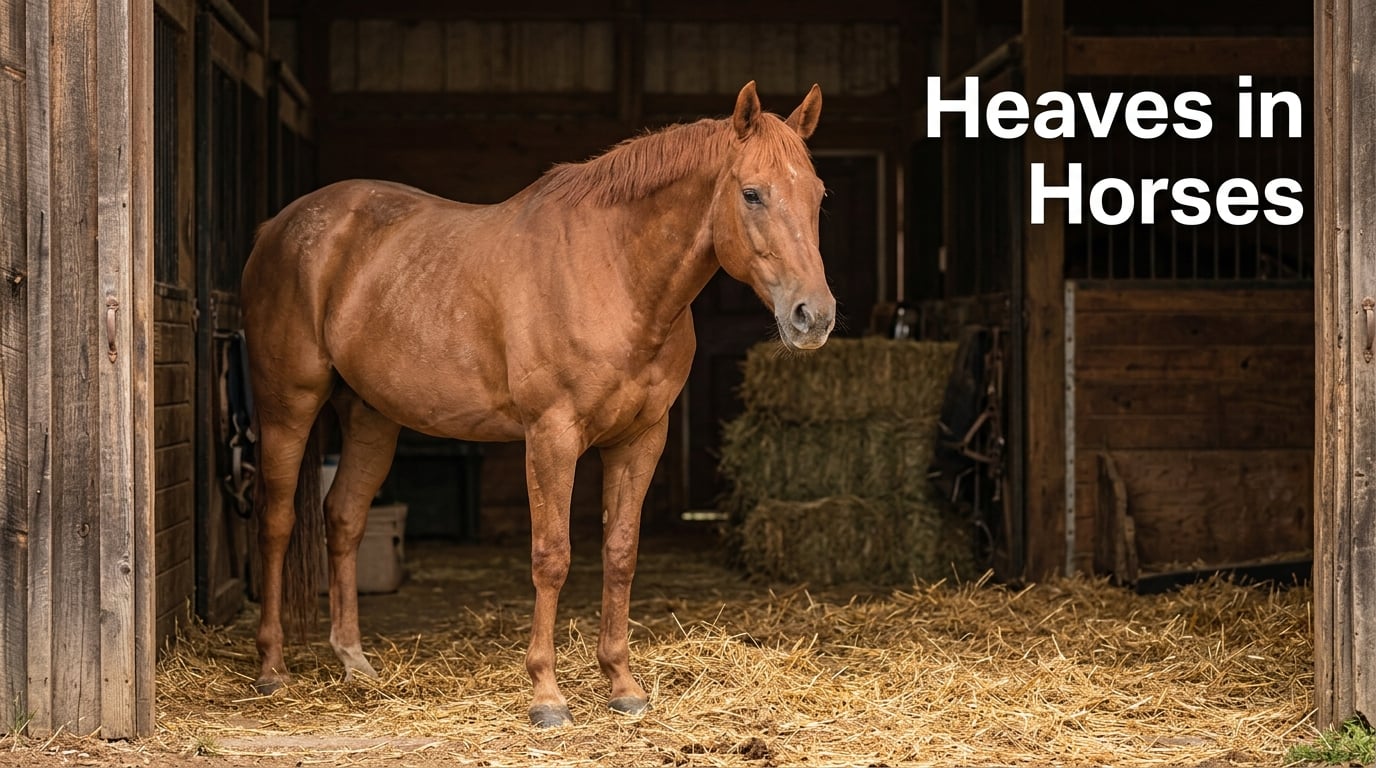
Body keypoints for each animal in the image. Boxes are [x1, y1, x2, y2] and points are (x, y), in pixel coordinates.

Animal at [240, 81, 836, 727]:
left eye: (818, 195)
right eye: (751, 193)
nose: (814, 316)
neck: (615, 271)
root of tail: (276, 227)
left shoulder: (641, 438)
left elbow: (620, 553)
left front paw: (622, 684)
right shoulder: (552, 435)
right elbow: (552, 556)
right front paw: (547, 696)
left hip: (371, 415)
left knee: (344, 517)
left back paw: (354, 661)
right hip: (288, 404)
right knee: (276, 521)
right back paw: (272, 667)